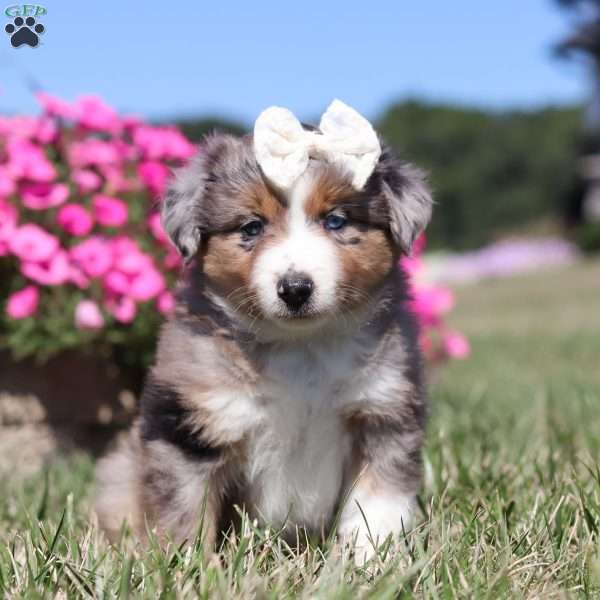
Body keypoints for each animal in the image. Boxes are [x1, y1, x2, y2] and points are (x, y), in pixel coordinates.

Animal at [98, 101, 434, 560]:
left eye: (336, 220)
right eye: (251, 227)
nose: (295, 289)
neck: (302, 346)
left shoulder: (382, 413)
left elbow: (379, 502)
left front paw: (371, 560)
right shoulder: (191, 426)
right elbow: (187, 509)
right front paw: (189, 565)